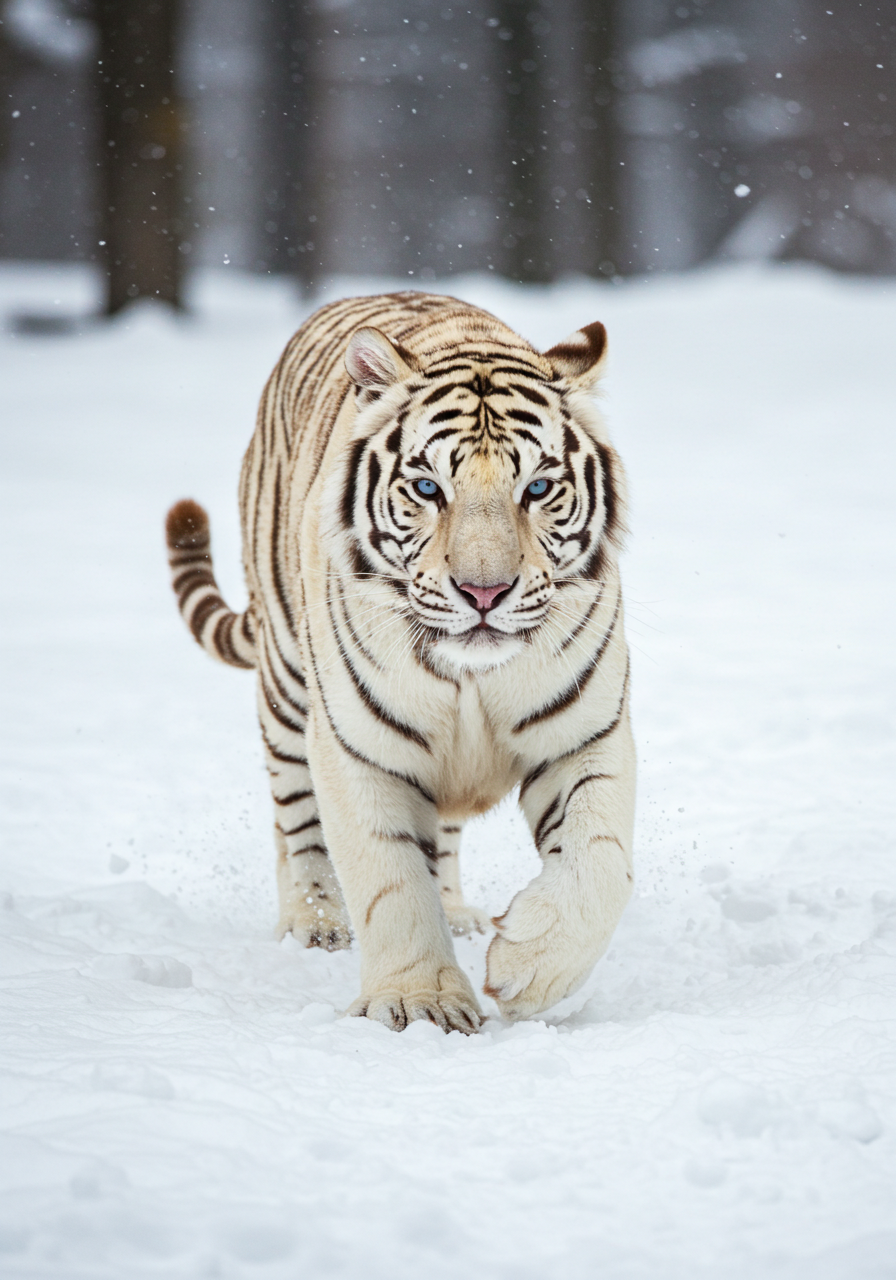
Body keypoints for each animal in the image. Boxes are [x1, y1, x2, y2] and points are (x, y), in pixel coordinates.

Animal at [165, 291, 635, 1034]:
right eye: (426, 487)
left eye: (536, 489)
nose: (484, 592)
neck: (469, 676)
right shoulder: (360, 748)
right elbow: (390, 880)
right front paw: (420, 1005)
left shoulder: (585, 734)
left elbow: (599, 859)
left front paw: (531, 968)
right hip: (288, 684)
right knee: (295, 818)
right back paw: (315, 923)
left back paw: (460, 913)